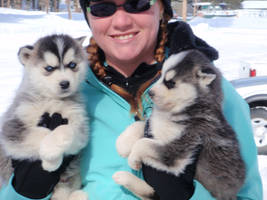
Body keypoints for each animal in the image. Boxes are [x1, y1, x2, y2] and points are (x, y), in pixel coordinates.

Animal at [0, 34, 90, 200]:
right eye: (49, 68)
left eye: (72, 64)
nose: (65, 83)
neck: (52, 100)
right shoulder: (13, 127)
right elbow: (39, 133)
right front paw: (50, 158)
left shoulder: (80, 126)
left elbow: (66, 130)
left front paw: (51, 155)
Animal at [113, 49, 247, 200]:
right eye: (160, 76)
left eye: (170, 83)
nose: (150, 92)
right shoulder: (154, 126)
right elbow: (140, 125)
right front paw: (122, 144)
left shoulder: (179, 149)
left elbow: (143, 143)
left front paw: (133, 159)